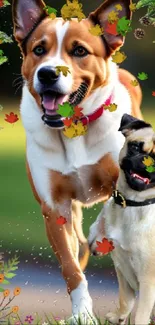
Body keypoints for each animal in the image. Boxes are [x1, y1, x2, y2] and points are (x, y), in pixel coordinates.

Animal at [12, 0, 143, 322]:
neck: (73, 130)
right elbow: (71, 269)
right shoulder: (55, 208)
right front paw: (82, 314)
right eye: (39, 49)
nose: (47, 74)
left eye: (80, 51)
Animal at [88, 114, 155, 324]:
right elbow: (126, 299)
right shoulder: (122, 268)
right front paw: (119, 316)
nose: (147, 160)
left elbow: (141, 314)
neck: (134, 204)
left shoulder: (149, 280)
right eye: (135, 147)